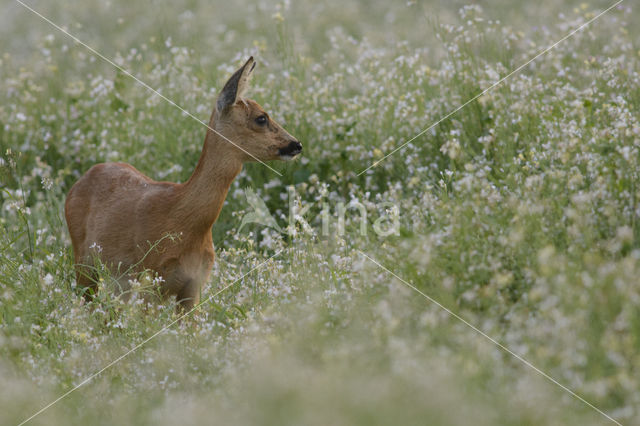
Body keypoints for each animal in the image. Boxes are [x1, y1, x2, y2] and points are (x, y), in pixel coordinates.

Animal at [65, 56, 302, 310]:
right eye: (261, 118)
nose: (296, 144)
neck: (182, 220)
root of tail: (81, 180)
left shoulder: (194, 286)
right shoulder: (151, 279)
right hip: (84, 262)